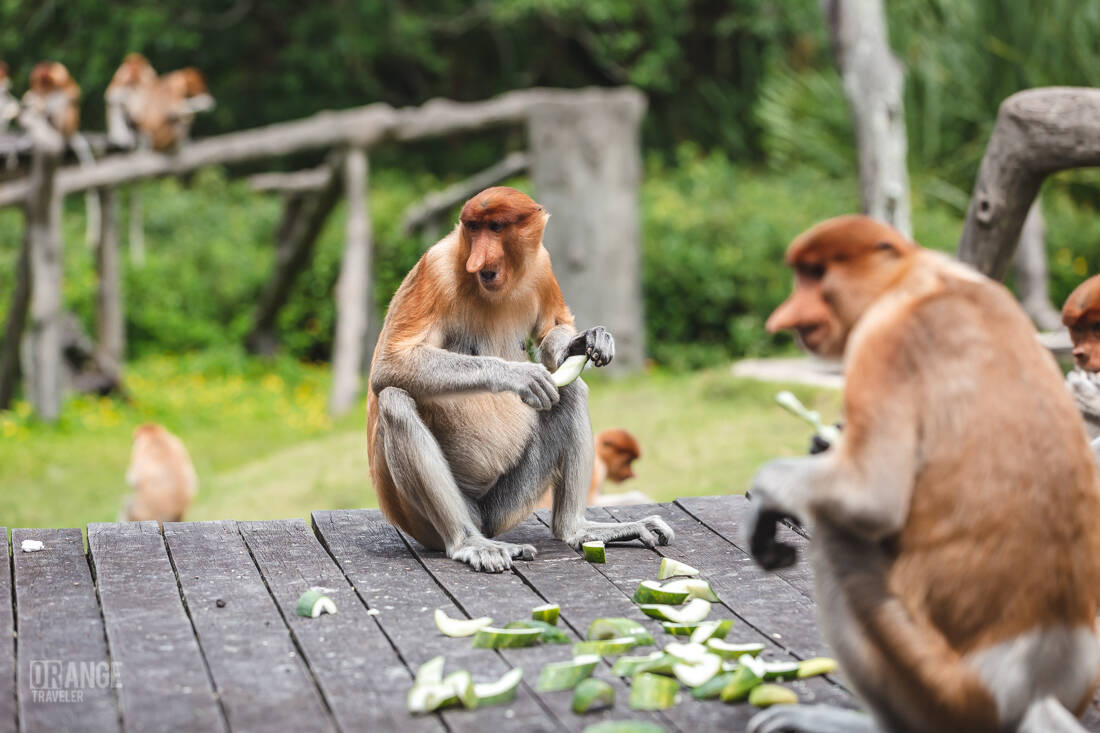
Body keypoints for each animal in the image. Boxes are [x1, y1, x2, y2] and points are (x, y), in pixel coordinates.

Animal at [367, 186, 673, 572]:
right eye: (474, 228)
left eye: (496, 227)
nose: (477, 260)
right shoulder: (434, 270)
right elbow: (389, 363)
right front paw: (520, 375)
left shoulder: (541, 265)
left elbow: (552, 330)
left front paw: (588, 341)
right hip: (427, 519)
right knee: (395, 399)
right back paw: (470, 543)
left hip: (507, 505)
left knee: (570, 391)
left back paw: (577, 529)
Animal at [743, 216, 1100, 733]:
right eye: (801, 275)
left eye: (816, 274)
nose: (784, 319)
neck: (914, 279)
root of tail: (1031, 692)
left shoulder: (882, 342)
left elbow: (869, 496)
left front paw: (766, 508)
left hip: (942, 692)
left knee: (835, 535)